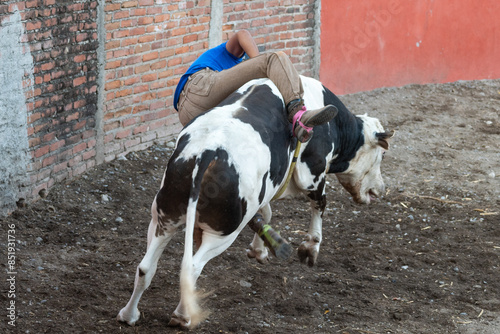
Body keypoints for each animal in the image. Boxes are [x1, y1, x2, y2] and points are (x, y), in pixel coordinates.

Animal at [118, 76, 394, 328]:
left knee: (146, 268)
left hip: (164, 217)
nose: (380, 190)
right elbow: (318, 205)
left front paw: (260, 249)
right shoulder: (313, 173)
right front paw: (309, 248)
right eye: (381, 154)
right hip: (222, 233)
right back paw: (182, 316)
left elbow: (266, 214)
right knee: (191, 268)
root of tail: (208, 152)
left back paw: (129, 315)